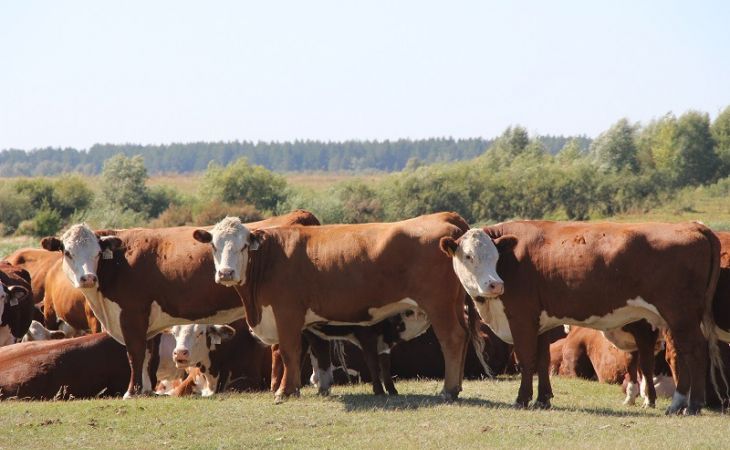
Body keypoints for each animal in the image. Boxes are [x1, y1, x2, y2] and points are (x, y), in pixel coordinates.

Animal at [41, 210, 320, 398]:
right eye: (68, 252)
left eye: (97, 253)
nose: (88, 278)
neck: (118, 265)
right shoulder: (148, 323)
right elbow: (148, 357)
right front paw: (146, 389)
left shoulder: (131, 315)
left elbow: (134, 354)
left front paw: (131, 391)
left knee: (285, 348)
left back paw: (280, 386)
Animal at [444, 221, 724, 414]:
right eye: (468, 256)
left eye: (495, 257)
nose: (495, 285)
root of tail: (694, 226)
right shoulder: (540, 322)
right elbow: (542, 361)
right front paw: (543, 399)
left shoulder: (521, 318)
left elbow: (527, 360)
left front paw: (522, 399)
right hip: (677, 320)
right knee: (681, 354)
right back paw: (679, 403)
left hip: (680, 315)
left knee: (694, 352)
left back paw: (692, 404)